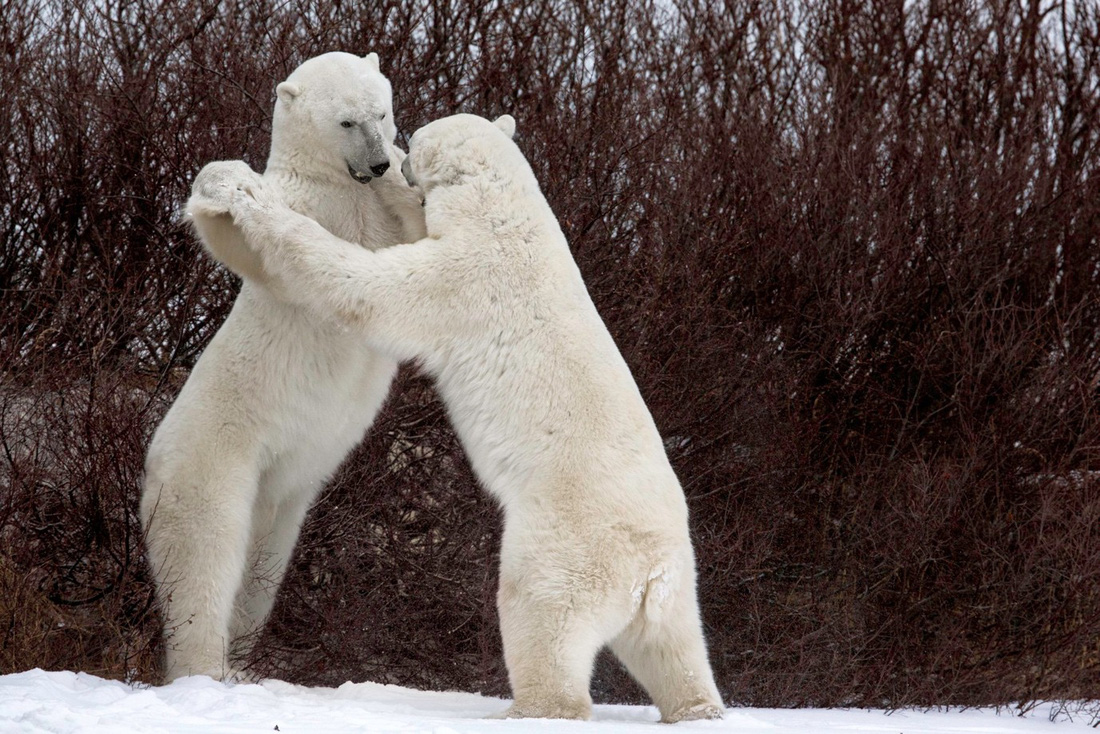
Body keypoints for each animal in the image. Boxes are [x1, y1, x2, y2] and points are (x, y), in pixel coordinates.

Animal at [139, 51, 422, 682]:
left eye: (381, 112)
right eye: (345, 121)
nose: (378, 161)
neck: (340, 185)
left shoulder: (375, 212)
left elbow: (419, 237)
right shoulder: (308, 205)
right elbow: (247, 241)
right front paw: (227, 184)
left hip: (285, 495)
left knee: (262, 570)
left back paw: (244, 660)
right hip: (213, 461)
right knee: (204, 559)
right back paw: (205, 668)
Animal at [189, 112, 721, 721]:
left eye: (416, 137)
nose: (395, 158)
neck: (506, 214)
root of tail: (647, 570)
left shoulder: (466, 277)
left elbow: (369, 288)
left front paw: (249, 199)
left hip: (565, 545)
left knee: (541, 612)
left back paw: (527, 707)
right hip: (677, 586)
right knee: (674, 648)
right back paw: (698, 707)